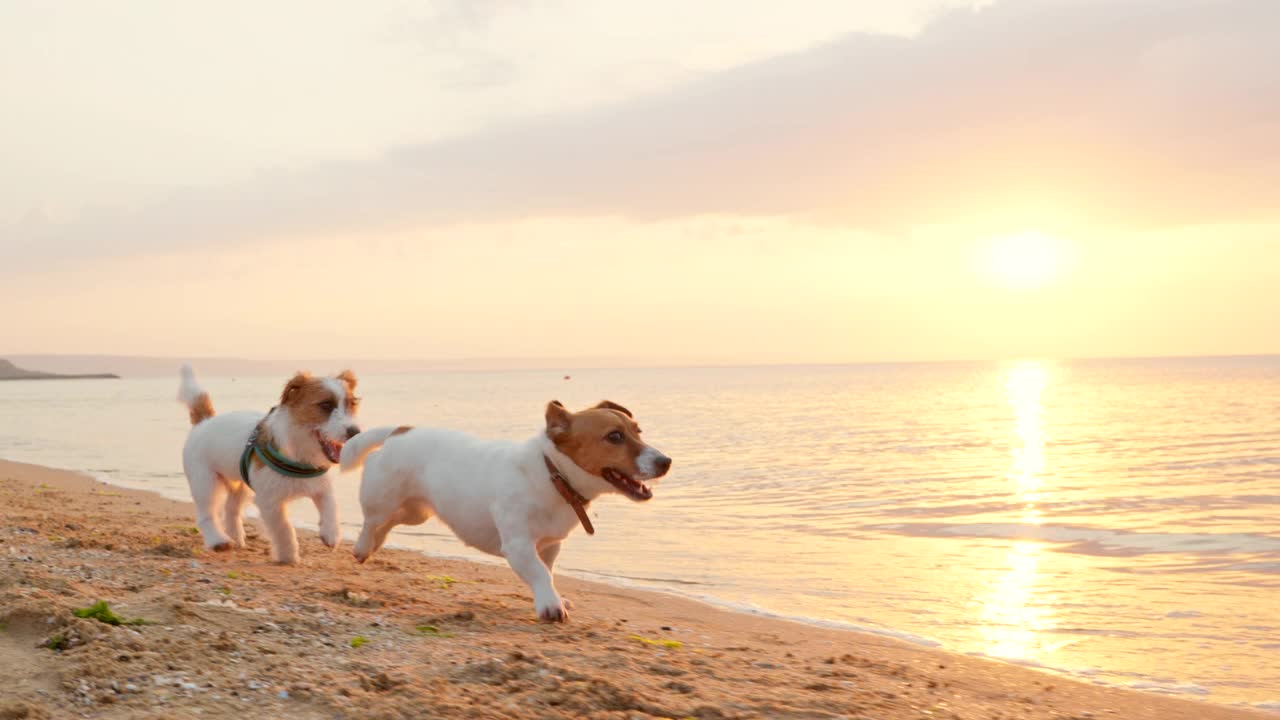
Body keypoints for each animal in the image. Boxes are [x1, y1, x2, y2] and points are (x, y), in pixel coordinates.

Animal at [175, 363, 360, 561]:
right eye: (326, 405)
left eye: (352, 404)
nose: (355, 432)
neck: (298, 451)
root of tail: (204, 422)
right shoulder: (270, 502)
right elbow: (284, 529)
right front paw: (289, 556)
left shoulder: (320, 486)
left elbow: (331, 506)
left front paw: (331, 534)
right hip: (205, 483)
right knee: (206, 514)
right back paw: (218, 541)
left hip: (241, 484)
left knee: (231, 509)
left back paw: (236, 537)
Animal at [340, 399, 675, 620]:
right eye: (614, 436)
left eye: (638, 431)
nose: (666, 461)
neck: (553, 475)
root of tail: (400, 430)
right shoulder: (518, 545)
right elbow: (540, 573)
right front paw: (551, 606)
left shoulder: (549, 545)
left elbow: (547, 572)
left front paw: (552, 598)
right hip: (382, 497)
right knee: (371, 520)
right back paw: (362, 546)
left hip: (416, 514)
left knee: (388, 523)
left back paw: (374, 546)